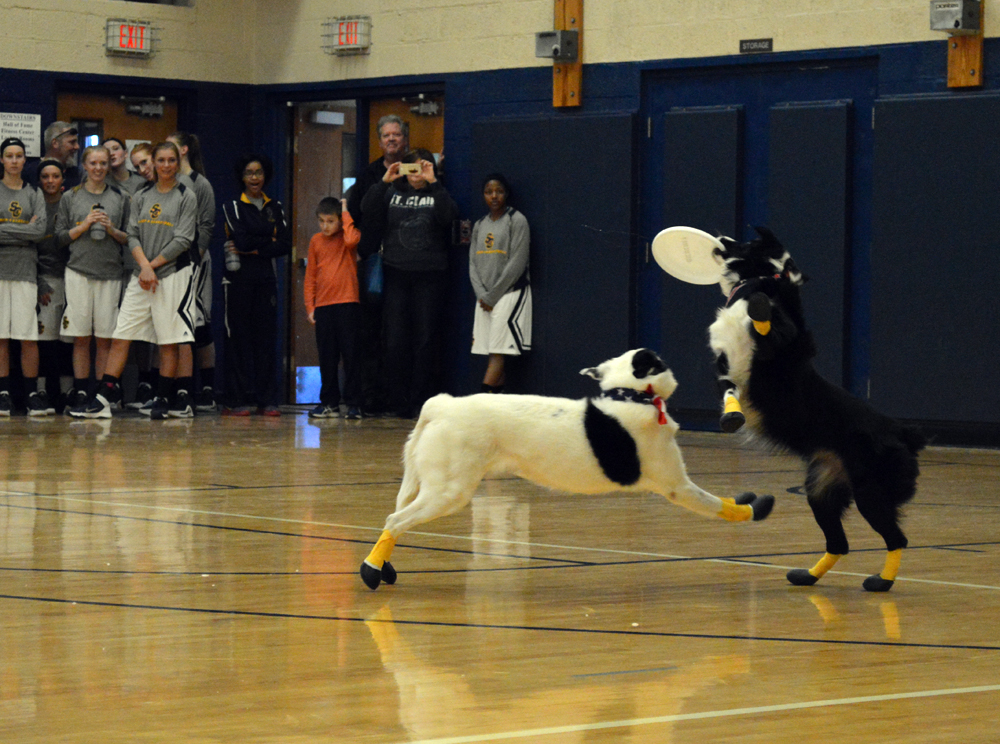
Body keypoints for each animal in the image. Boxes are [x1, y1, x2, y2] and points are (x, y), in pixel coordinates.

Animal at [360, 350, 772, 592]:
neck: (632, 396)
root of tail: (442, 406)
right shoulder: (677, 485)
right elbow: (718, 505)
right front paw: (752, 509)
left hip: (433, 486)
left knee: (396, 517)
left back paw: (384, 566)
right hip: (449, 491)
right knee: (396, 520)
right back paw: (371, 570)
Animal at [708, 227, 924, 592]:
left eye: (747, 241)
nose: (721, 237)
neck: (763, 279)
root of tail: (904, 433)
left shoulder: (783, 347)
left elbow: (771, 326)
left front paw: (762, 310)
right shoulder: (725, 368)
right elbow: (729, 392)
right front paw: (732, 417)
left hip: (871, 493)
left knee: (897, 539)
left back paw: (881, 582)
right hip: (822, 491)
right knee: (839, 543)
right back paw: (807, 575)